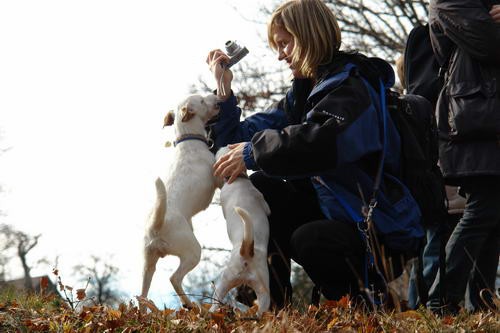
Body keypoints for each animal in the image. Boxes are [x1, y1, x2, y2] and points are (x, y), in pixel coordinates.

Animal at [141, 94, 219, 308]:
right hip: (193, 252)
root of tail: (156, 227)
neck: (188, 138)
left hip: (148, 263)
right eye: (202, 101)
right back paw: (190, 304)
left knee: (142, 295)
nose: (217, 97)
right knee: (174, 278)